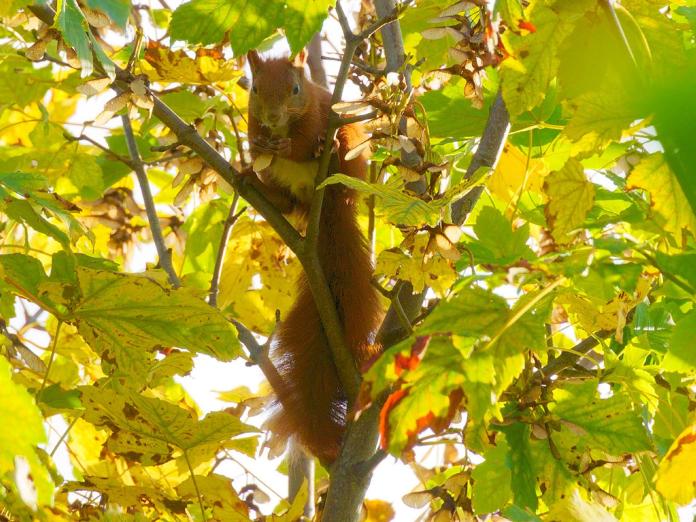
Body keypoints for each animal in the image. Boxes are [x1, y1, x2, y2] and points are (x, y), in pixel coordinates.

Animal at [246, 49, 386, 464]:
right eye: (254, 88)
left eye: (295, 89)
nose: (272, 116)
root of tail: (322, 205)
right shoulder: (251, 122)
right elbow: (254, 144)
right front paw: (260, 148)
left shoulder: (318, 112)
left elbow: (304, 141)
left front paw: (291, 146)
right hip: (283, 189)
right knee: (284, 201)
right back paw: (252, 182)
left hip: (347, 157)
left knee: (334, 154)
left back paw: (333, 149)